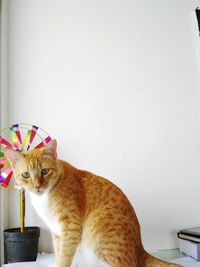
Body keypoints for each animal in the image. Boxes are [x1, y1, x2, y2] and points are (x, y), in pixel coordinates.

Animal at [5, 141, 182, 266]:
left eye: (44, 171)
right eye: (26, 175)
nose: (37, 186)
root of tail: (141, 250)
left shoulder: (70, 228)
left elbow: (64, 257)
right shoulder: (57, 233)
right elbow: (58, 253)